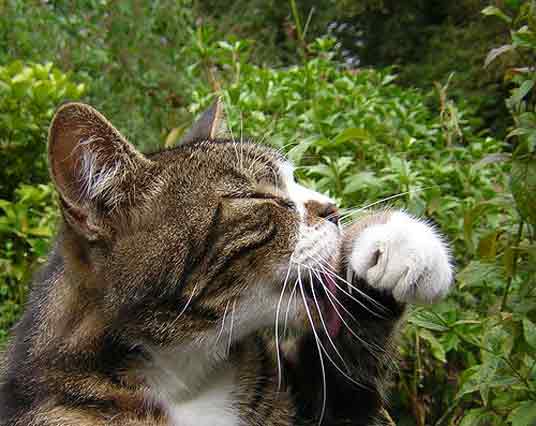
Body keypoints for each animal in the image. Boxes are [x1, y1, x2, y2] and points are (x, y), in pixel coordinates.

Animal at [0, 100, 454, 426]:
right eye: (255, 195)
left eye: (294, 181)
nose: (333, 209)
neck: (181, 381)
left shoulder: (318, 402)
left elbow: (346, 374)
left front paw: (400, 243)